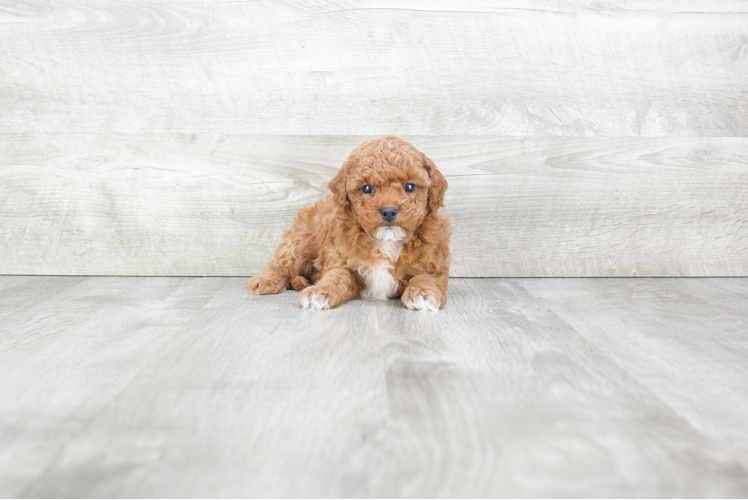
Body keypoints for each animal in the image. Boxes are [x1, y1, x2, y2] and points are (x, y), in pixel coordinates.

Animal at [248, 135, 452, 310]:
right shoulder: (342, 260)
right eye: (367, 188)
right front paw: (319, 291)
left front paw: (424, 293)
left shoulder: (433, 263)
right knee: (280, 265)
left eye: (410, 186)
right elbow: (337, 276)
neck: (387, 242)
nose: (389, 211)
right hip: (299, 240)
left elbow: (426, 277)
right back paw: (265, 281)